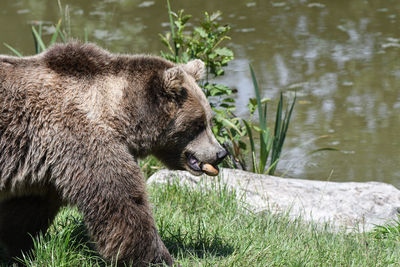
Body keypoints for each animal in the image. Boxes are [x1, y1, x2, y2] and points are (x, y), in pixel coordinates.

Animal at [0, 42, 225, 266]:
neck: (120, 116)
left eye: (209, 119)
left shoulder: (42, 165)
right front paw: (156, 258)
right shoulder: (82, 141)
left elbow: (25, 213)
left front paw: (21, 250)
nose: (221, 153)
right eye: (198, 124)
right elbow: (123, 202)